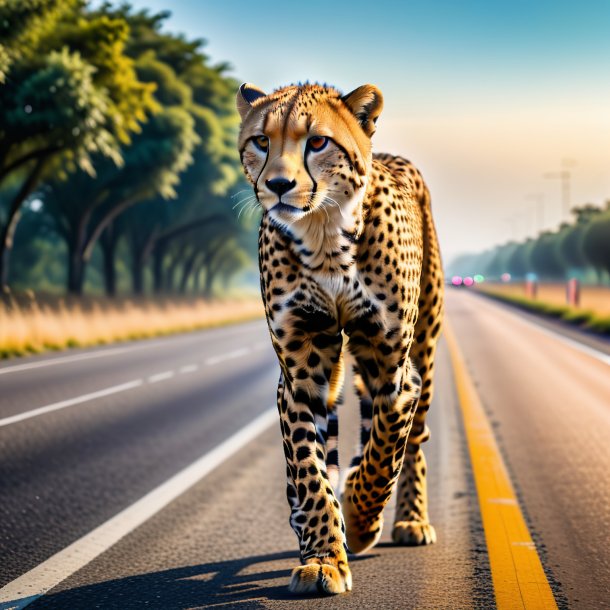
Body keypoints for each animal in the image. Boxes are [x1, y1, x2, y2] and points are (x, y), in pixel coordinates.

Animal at [235, 83, 440, 592]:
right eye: (261, 141)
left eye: (317, 142)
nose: (278, 185)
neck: (324, 234)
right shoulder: (301, 373)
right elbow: (310, 469)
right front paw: (323, 557)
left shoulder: (392, 369)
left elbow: (384, 452)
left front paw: (362, 520)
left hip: (424, 350)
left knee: (415, 438)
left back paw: (408, 519)